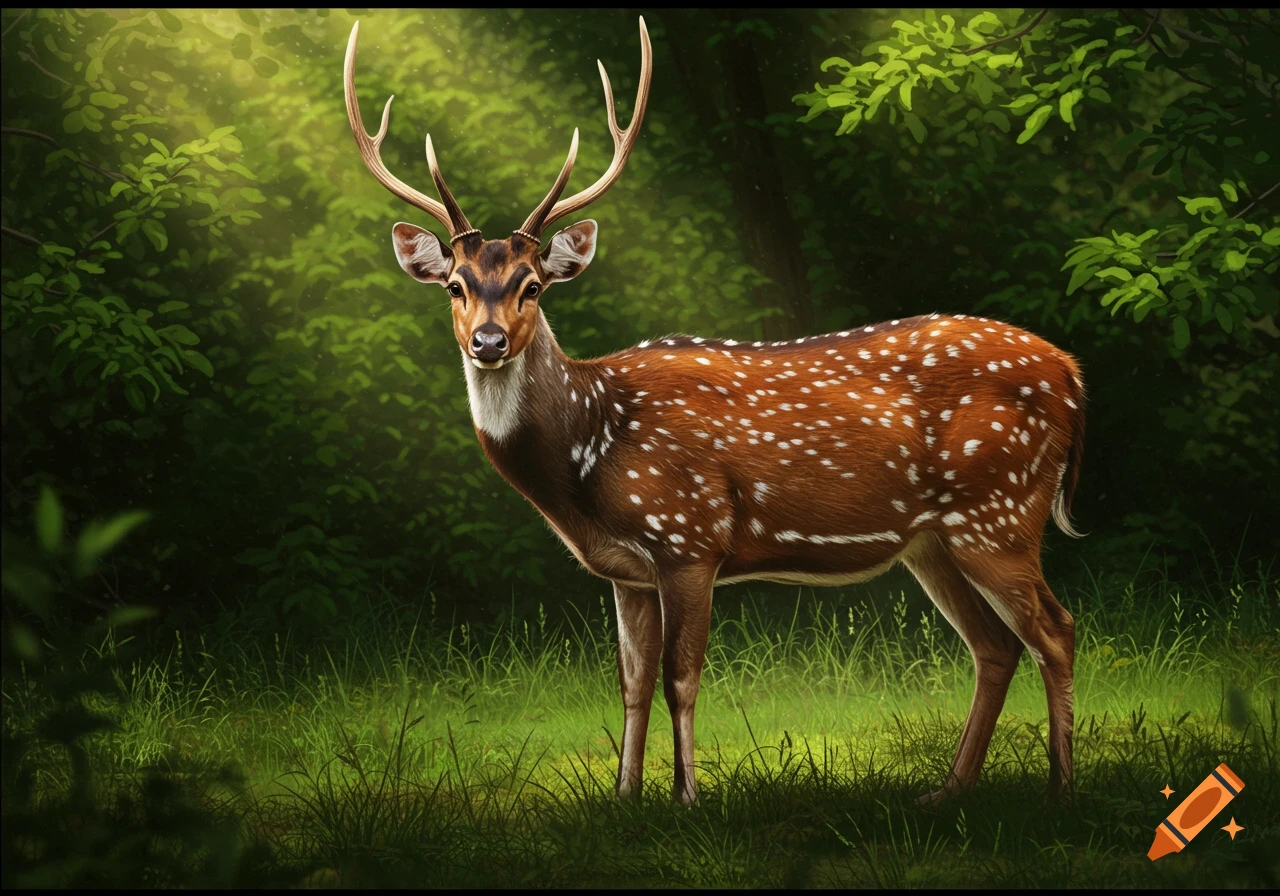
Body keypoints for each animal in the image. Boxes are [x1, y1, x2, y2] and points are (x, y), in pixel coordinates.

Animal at [343, 16, 1086, 806]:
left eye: (533, 286)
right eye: (454, 284)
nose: (487, 342)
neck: (588, 452)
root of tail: (1072, 373)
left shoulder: (689, 538)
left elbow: (681, 677)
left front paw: (688, 799)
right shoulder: (626, 572)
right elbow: (632, 683)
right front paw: (624, 797)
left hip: (999, 511)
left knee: (1056, 629)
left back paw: (1061, 787)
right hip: (934, 540)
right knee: (996, 646)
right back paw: (947, 790)